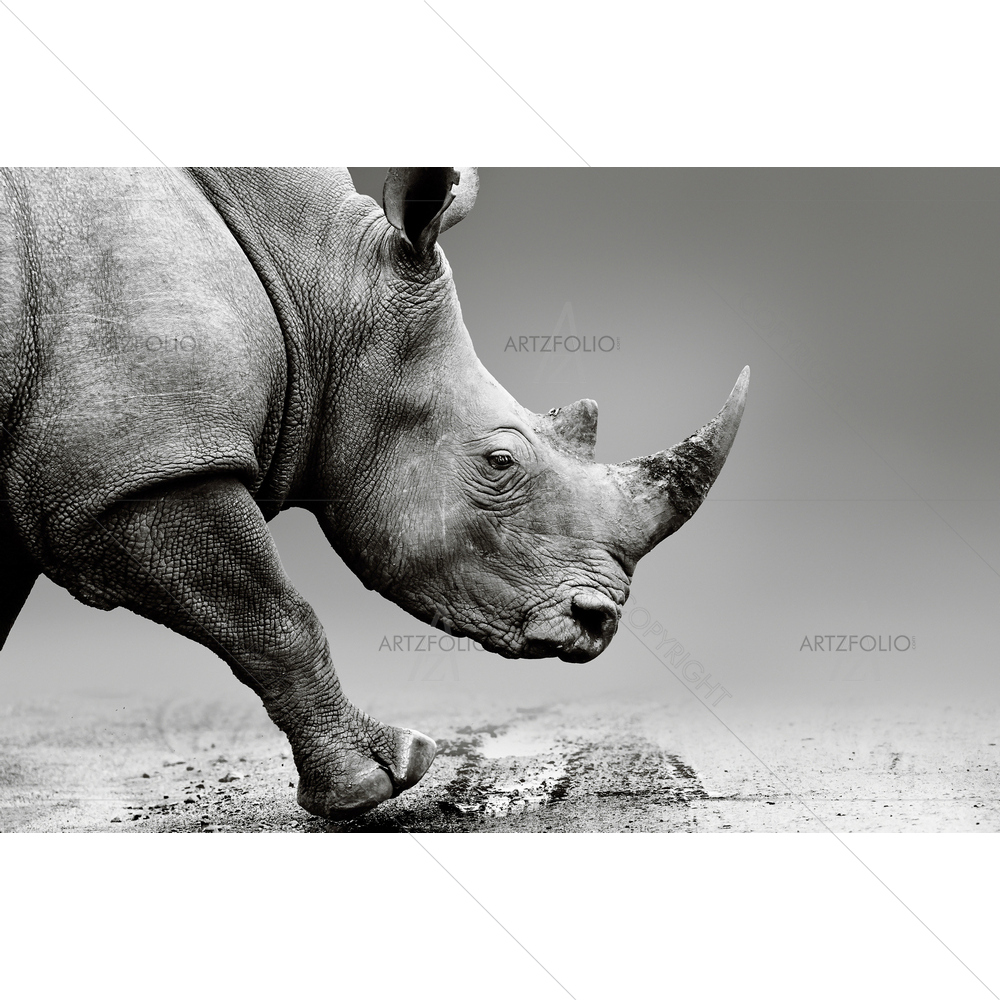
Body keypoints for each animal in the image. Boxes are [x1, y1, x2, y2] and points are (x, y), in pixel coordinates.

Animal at [0, 167, 748, 820]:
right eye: (500, 461)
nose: (600, 623)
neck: (318, 285)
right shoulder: (142, 470)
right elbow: (272, 618)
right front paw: (382, 780)